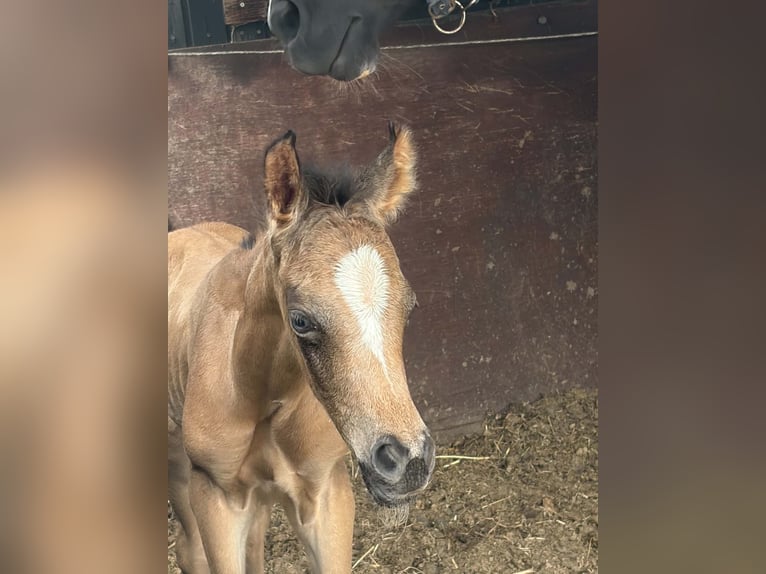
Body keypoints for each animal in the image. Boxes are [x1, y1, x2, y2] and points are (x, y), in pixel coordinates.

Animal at [168, 123, 435, 574]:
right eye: (300, 320)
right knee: (191, 551)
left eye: (411, 306)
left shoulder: (327, 492)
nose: (408, 462)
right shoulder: (216, 497)